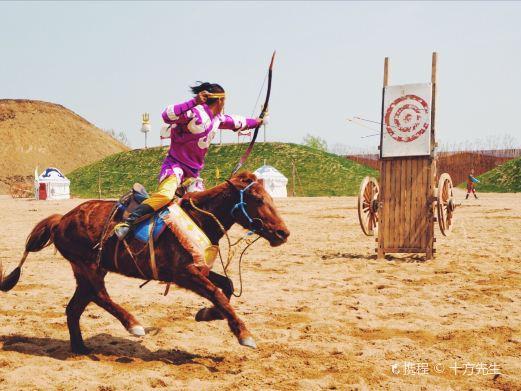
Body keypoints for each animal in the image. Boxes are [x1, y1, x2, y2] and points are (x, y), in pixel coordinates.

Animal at [0, 172, 288, 356]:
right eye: (258, 199)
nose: (283, 233)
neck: (199, 218)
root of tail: (61, 219)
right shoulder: (184, 274)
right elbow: (218, 293)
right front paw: (244, 335)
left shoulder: (197, 270)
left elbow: (226, 287)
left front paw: (205, 314)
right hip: (88, 267)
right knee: (100, 295)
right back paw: (133, 324)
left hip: (87, 270)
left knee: (75, 307)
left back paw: (80, 348)